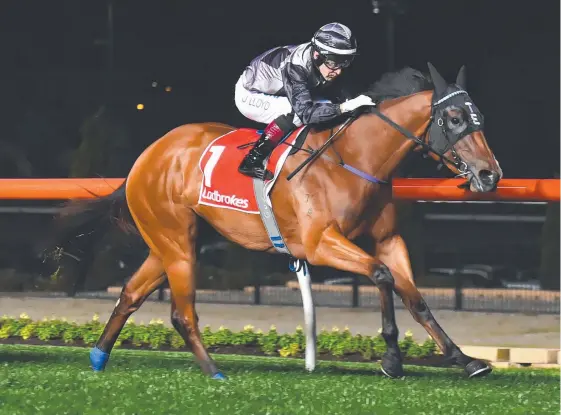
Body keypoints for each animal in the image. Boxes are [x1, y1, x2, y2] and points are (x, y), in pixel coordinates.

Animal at [46, 62, 500, 380]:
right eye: (455, 119)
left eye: (478, 117)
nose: (490, 174)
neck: (354, 159)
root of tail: (147, 156)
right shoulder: (319, 243)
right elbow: (382, 276)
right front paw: (392, 359)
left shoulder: (388, 239)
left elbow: (415, 297)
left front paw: (465, 359)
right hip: (176, 241)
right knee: (181, 313)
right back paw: (214, 372)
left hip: (171, 240)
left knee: (130, 294)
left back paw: (99, 357)